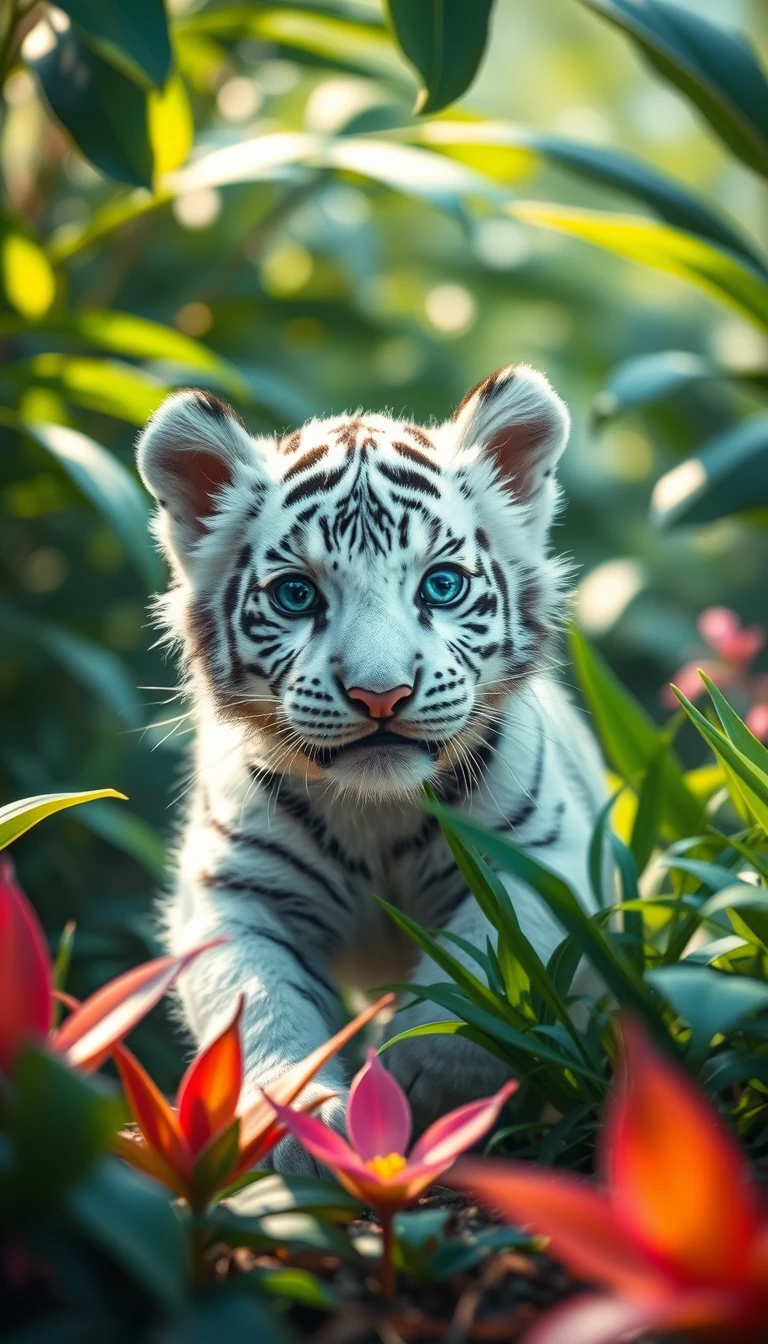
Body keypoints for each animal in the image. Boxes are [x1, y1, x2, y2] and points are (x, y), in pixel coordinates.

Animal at [136, 363, 606, 1173]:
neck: (375, 809)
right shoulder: (235, 896)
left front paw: (410, 1087)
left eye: (441, 585)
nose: (380, 694)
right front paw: (300, 1119)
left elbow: (487, 974)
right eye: (297, 595)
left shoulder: (541, 859)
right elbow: (260, 1005)